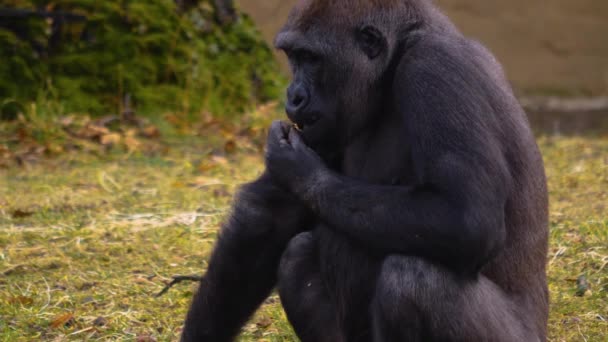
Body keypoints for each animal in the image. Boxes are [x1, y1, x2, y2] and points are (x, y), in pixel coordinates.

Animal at [180, 0, 552, 340]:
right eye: (293, 57)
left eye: (311, 58)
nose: (293, 95)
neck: (399, 52)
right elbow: (267, 217)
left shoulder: (435, 67)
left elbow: (468, 216)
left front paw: (302, 172)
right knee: (298, 255)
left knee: (413, 279)